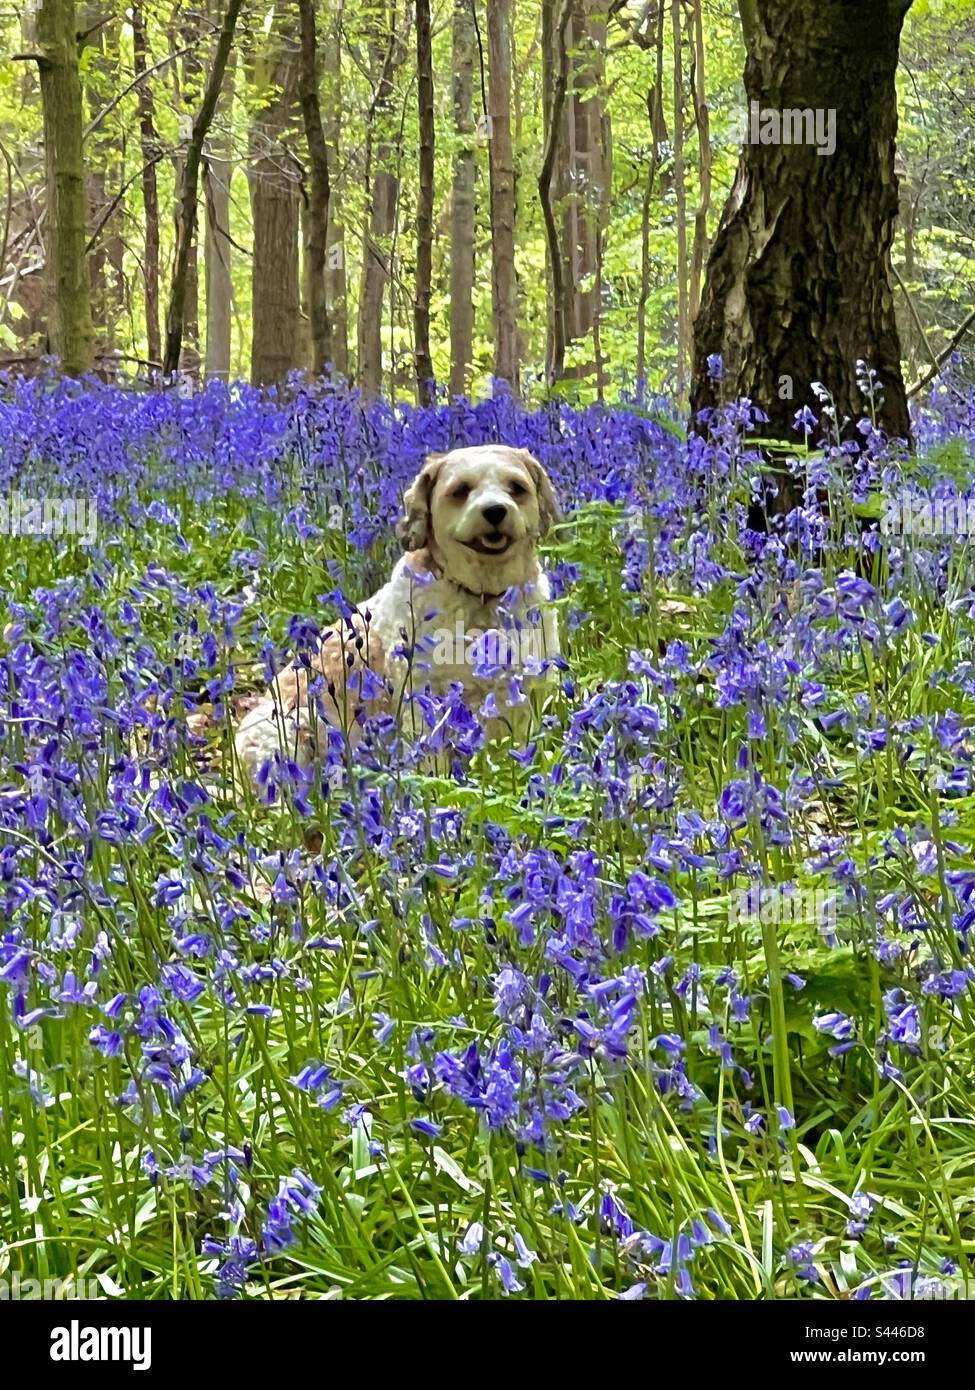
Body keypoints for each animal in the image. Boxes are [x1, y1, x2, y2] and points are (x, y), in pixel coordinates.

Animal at [230, 444, 559, 783]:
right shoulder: (423, 697)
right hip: (283, 736)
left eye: (516, 488)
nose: (495, 510)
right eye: (461, 490)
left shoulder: (525, 695)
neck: (482, 599)